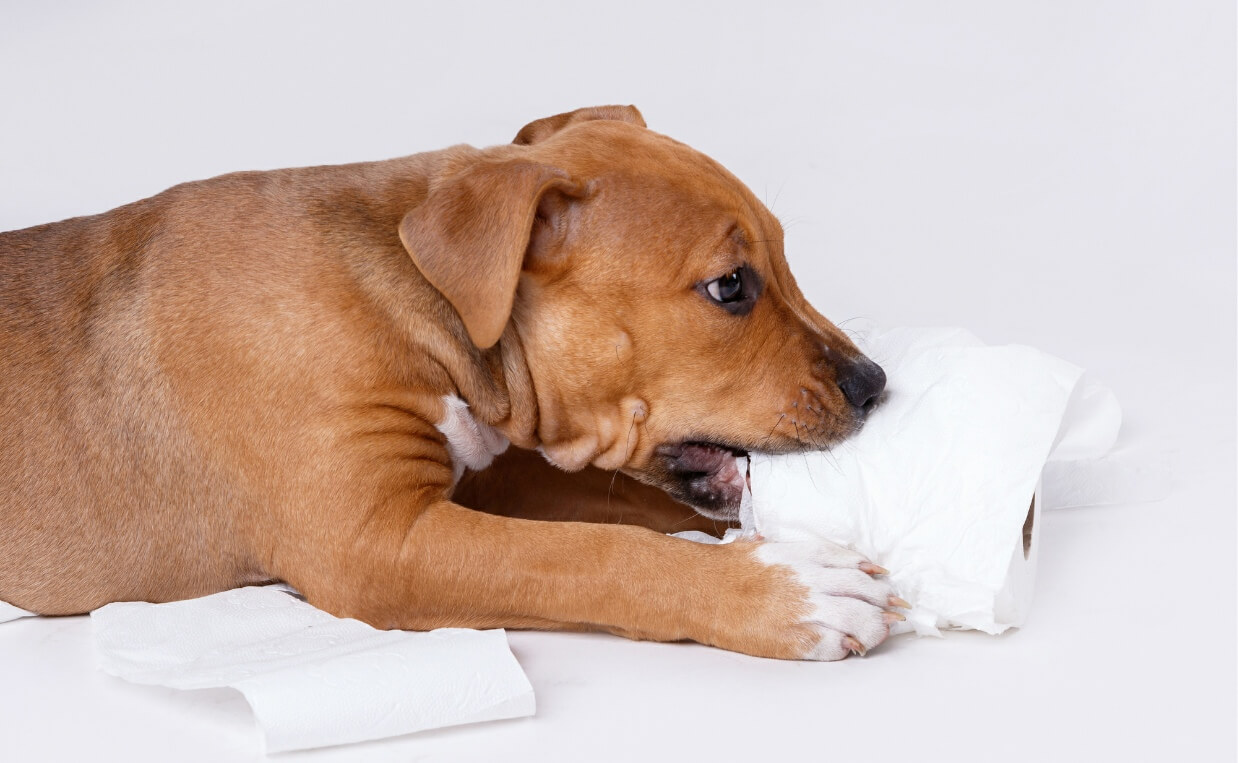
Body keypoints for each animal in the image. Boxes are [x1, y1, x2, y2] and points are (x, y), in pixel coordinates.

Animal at [4, 104, 906, 658]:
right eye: (730, 287)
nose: (874, 384)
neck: (414, 297)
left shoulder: (484, 475)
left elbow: (612, 509)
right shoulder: (375, 544)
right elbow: (586, 551)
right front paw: (784, 591)